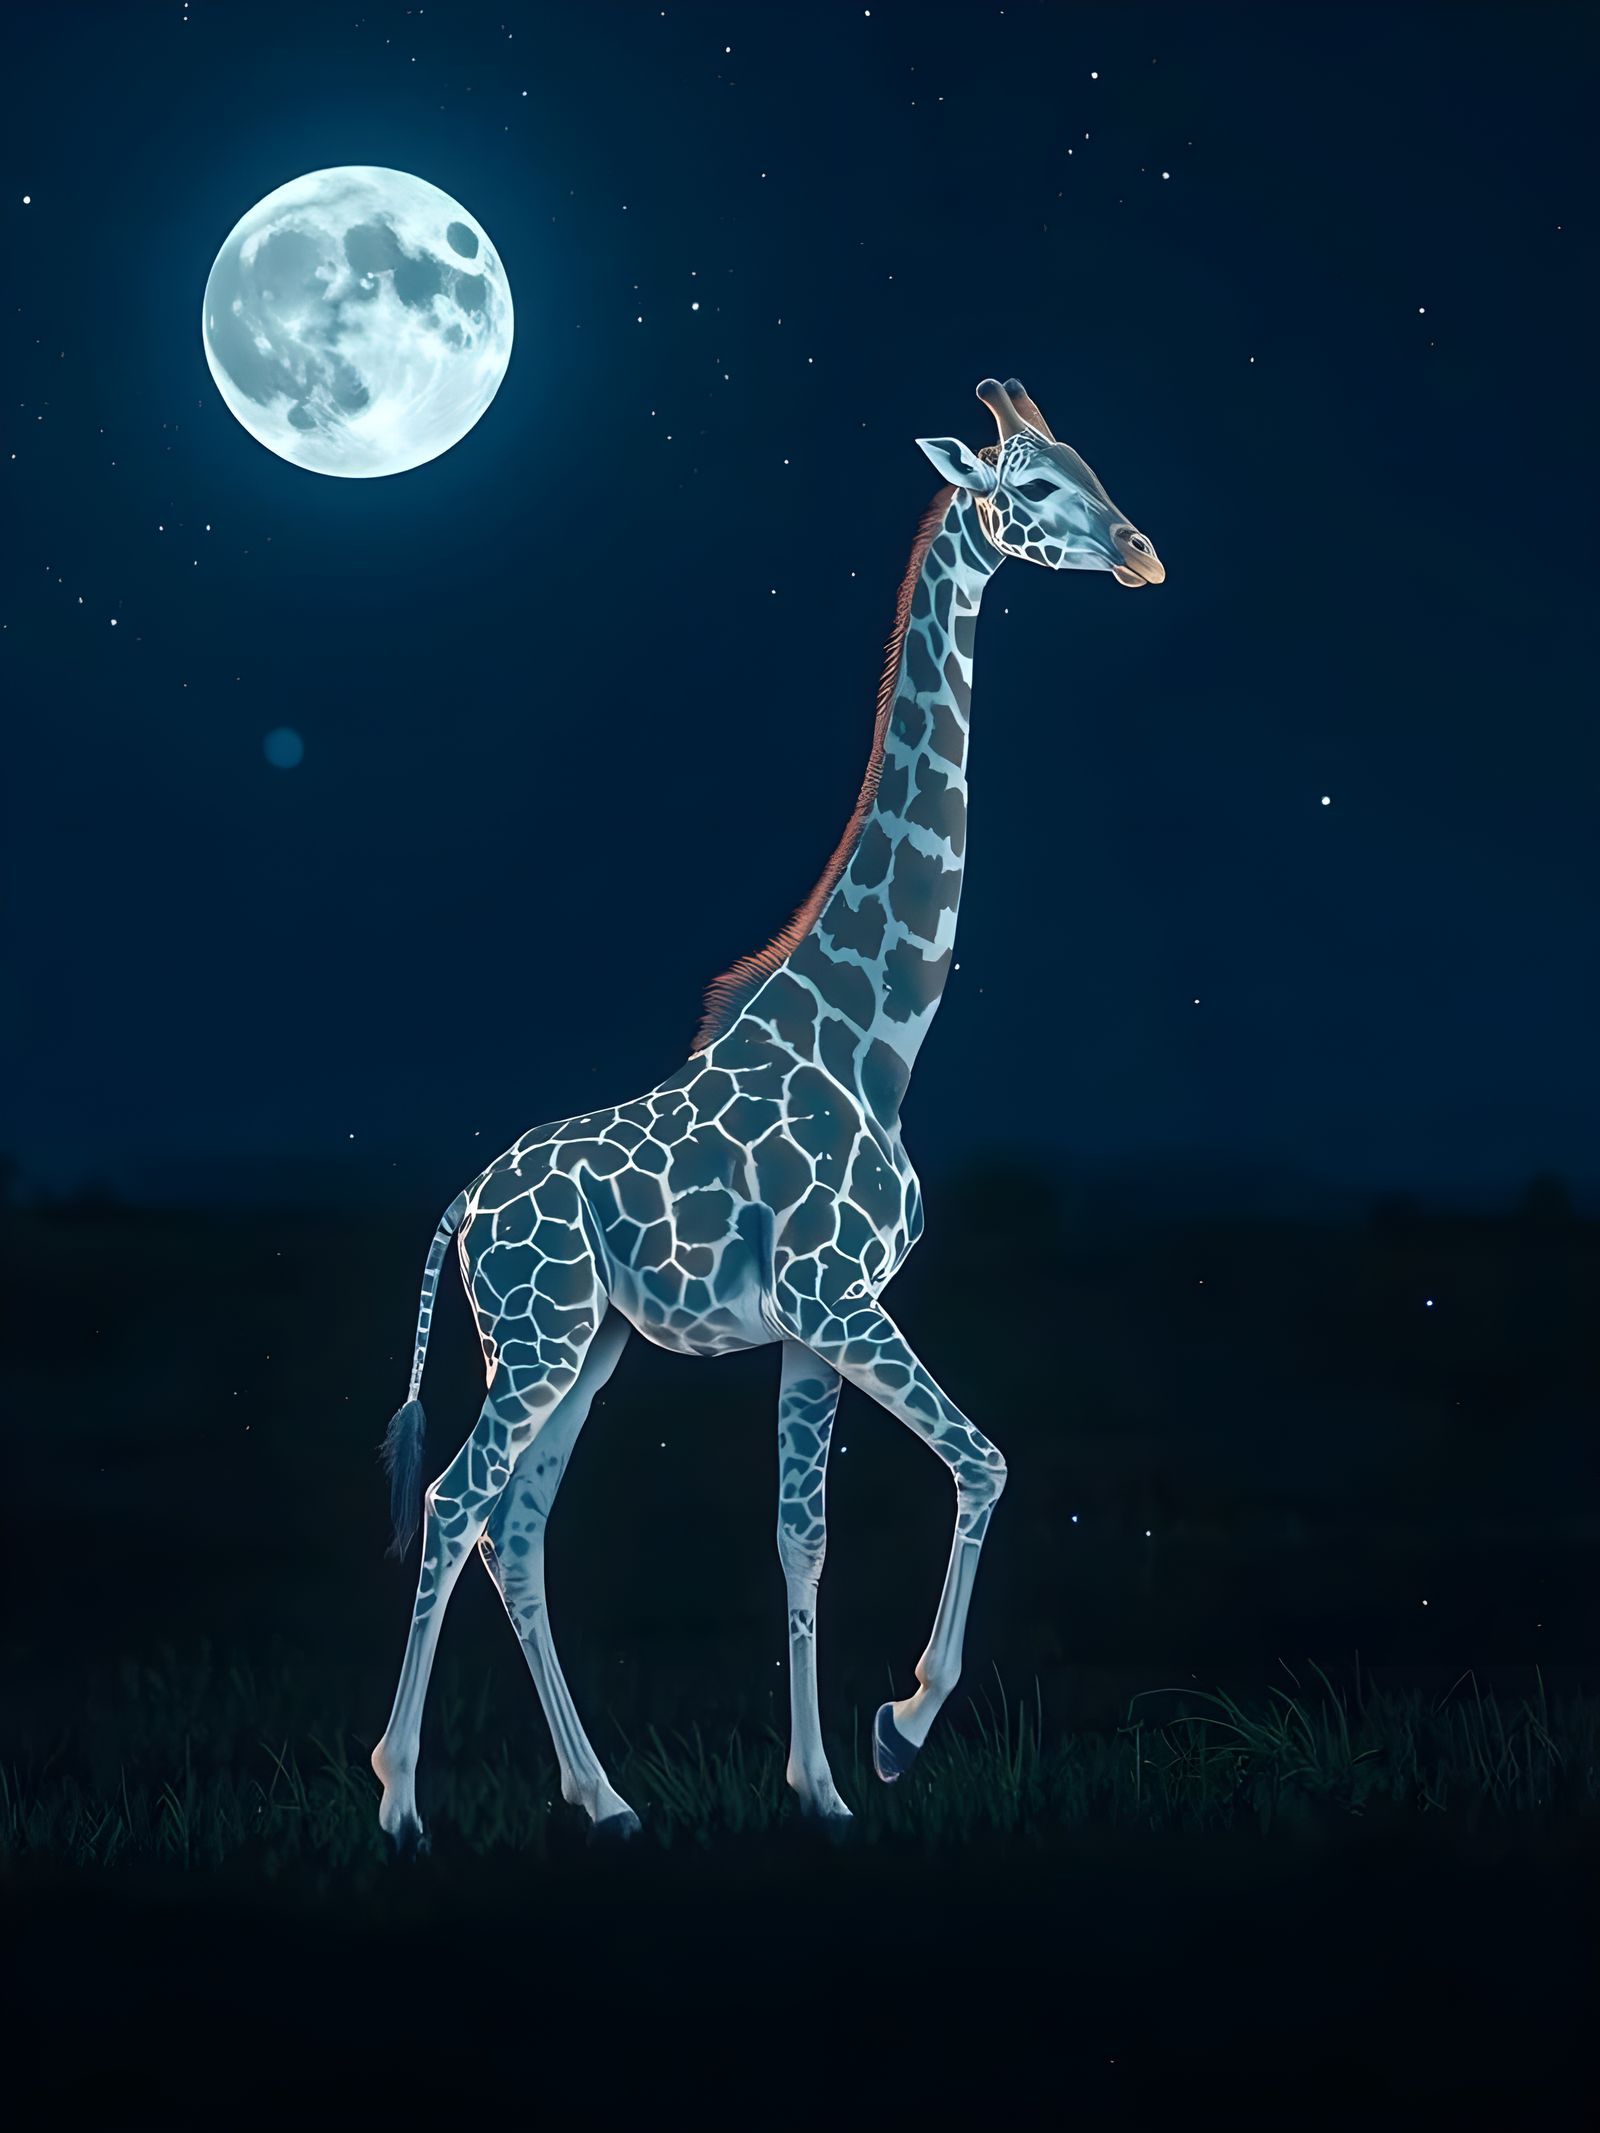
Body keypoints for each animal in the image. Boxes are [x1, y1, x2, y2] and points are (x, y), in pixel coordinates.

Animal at [371, 377, 1165, 1847]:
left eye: (1090, 462)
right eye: (1030, 489)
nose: (1140, 553)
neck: (877, 1039)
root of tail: (462, 1206)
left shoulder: (810, 1323)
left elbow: (804, 1536)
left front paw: (823, 1785)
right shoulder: (837, 1297)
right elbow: (987, 1460)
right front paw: (900, 1729)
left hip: (585, 1344)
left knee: (517, 1525)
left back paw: (605, 1799)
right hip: (541, 1332)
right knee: (455, 1502)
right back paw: (399, 1804)